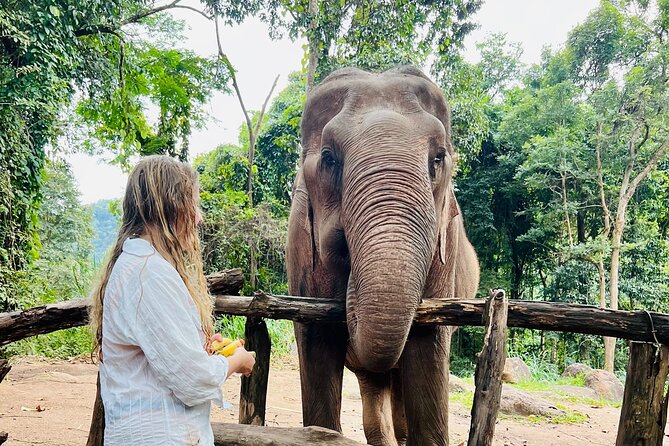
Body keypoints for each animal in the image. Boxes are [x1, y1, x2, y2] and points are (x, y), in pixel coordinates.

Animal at [286, 66, 480, 446]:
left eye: (438, 158)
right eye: (329, 158)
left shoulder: (444, 257)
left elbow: (427, 345)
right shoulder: (301, 250)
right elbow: (317, 342)